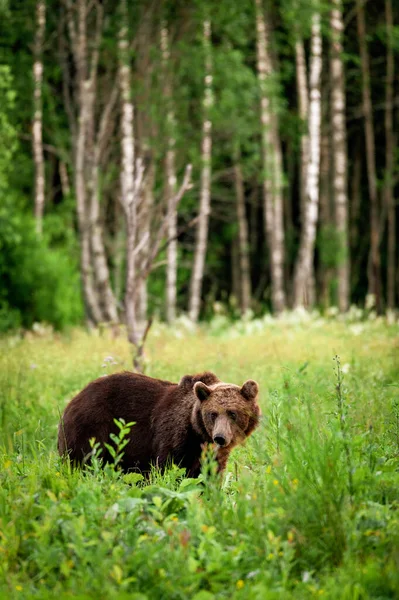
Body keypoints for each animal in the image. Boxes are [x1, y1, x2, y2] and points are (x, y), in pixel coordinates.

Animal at [57, 370, 260, 478]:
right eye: (212, 414)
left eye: (232, 413)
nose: (220, 437)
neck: (198, 435)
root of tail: (72, 400)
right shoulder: (174, 437)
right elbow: (169, 468)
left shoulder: (213, 455)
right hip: (93, 427)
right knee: (84, 461)